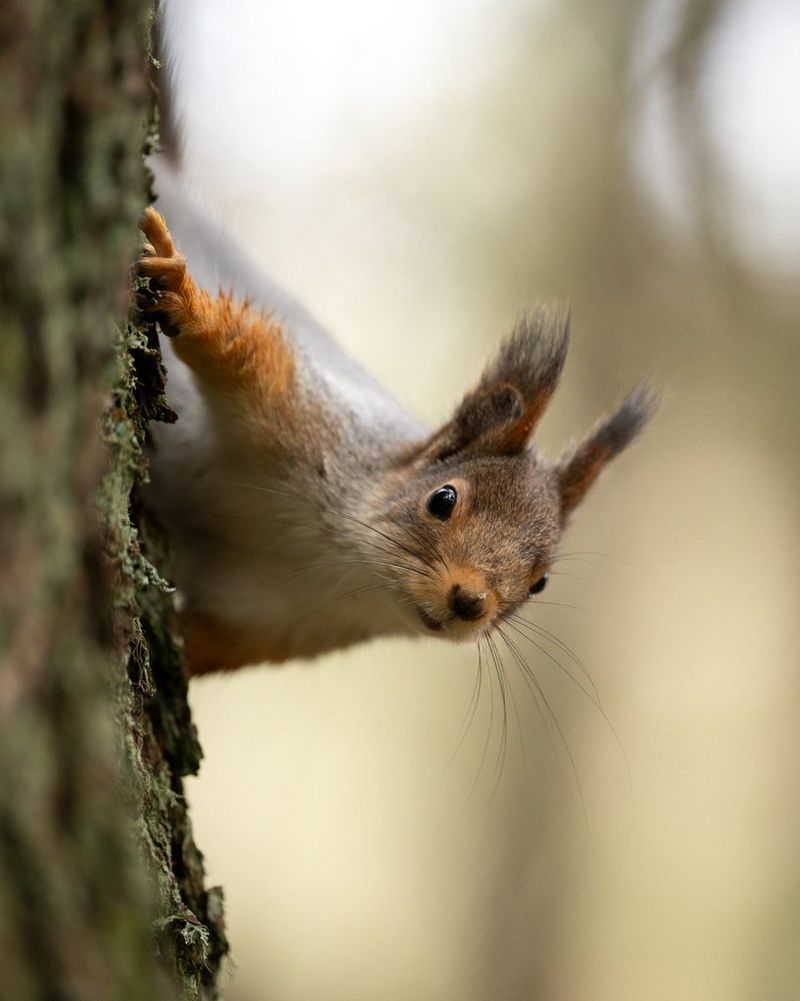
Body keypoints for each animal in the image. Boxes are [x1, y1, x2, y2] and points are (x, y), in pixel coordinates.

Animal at [138, 162, 656, 676]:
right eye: (442, 500)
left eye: (540, 582)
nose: (470, 602)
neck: (345, 566)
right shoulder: (307, 415)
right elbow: (237, 346)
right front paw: (183, 296)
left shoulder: (270, 624)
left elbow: (204, 644)